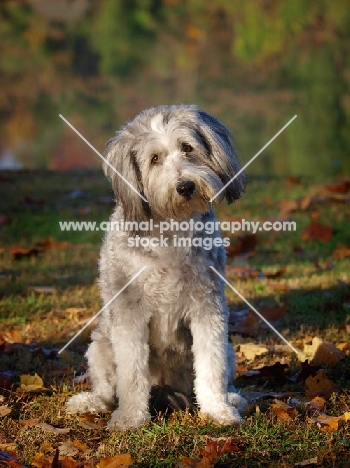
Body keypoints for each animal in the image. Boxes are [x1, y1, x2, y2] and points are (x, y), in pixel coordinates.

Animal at [65, 105, 246, 432]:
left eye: (188, 148)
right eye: (155, 159)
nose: (185, 186)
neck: (171, 231)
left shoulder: (207, 307)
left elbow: (210, 366)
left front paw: (217, 410)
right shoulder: (129, 312)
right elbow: (131, 375)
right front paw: (130, 418)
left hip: (227, 349)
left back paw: (231, 398)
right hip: (100, 346)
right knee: (107, 391)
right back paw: (91, 402)